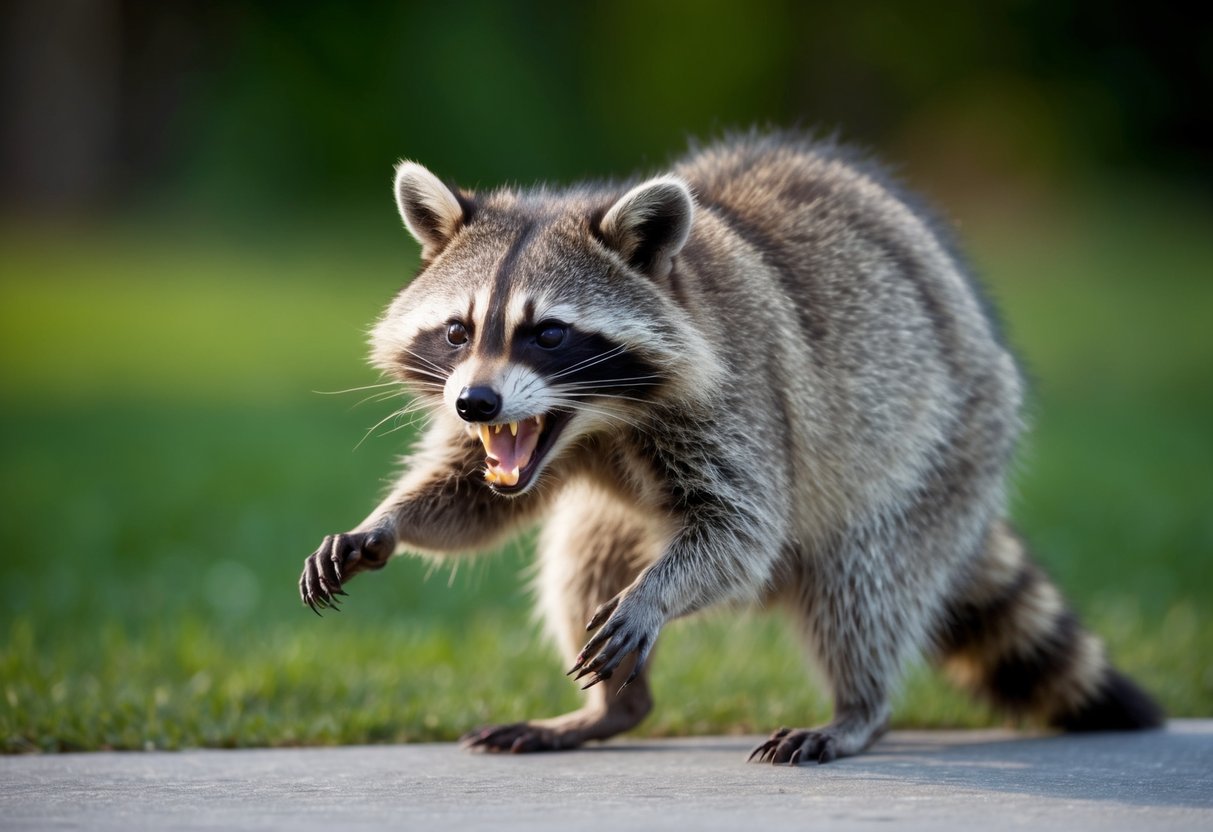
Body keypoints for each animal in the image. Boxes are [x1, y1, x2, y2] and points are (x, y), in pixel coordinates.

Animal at [298, 132, 1162, 763]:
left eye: (548, 334)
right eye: (458, 330)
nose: (475, 402)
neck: (597, 422)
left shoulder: (741, 397)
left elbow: (740, 532)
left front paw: (654, 596)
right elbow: (472, 496)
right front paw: (386, 523)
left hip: (945, 450)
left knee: (860, 583)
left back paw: (858, 708)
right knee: (579, 559)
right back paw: (615, 708)